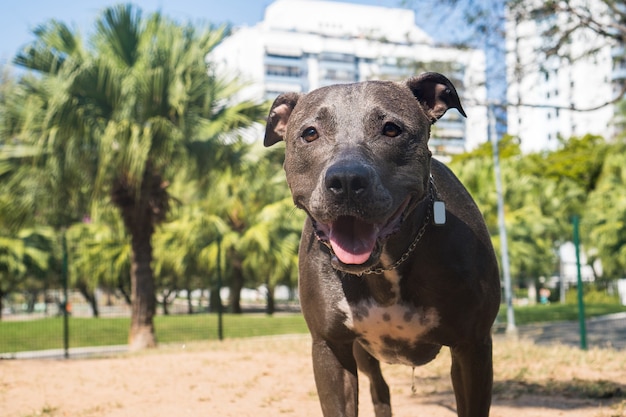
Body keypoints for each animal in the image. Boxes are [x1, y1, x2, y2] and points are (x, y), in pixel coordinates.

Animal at [266, 73, 500, 414]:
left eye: (391, 129)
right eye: (310, 133)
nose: (346, 180)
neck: (384, 268)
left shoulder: (473, 347)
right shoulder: (330, 349)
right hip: (363, 355)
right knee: (380, 388)